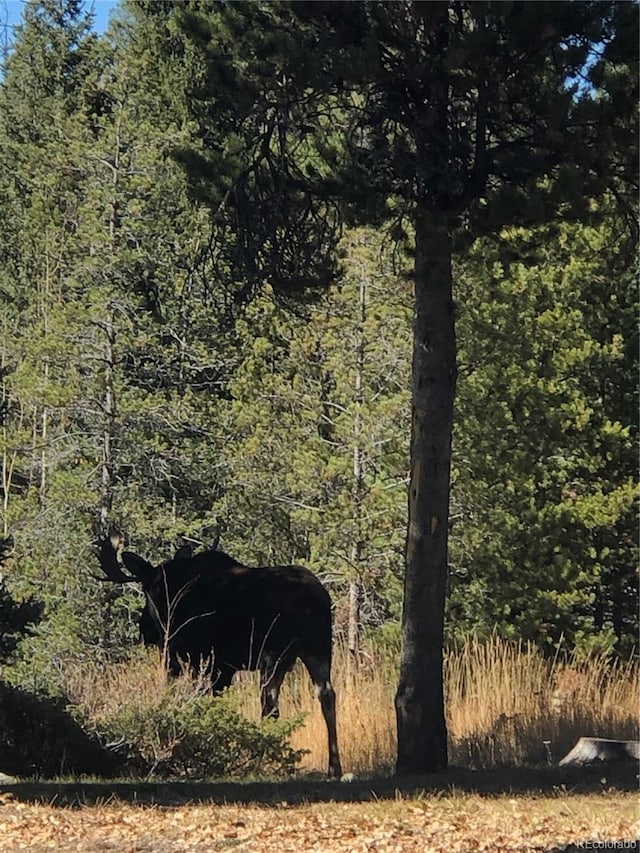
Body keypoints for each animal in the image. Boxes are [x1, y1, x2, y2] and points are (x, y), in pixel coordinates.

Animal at [97, 532, 342, 780]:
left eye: (147, 589)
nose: (145, 629)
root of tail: (315, 600)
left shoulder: (191, 659)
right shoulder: (225, 668)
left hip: (273, 655)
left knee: (270, 704)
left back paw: (265, 762)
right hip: (318, 649)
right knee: (326, 696)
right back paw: (334, 767)